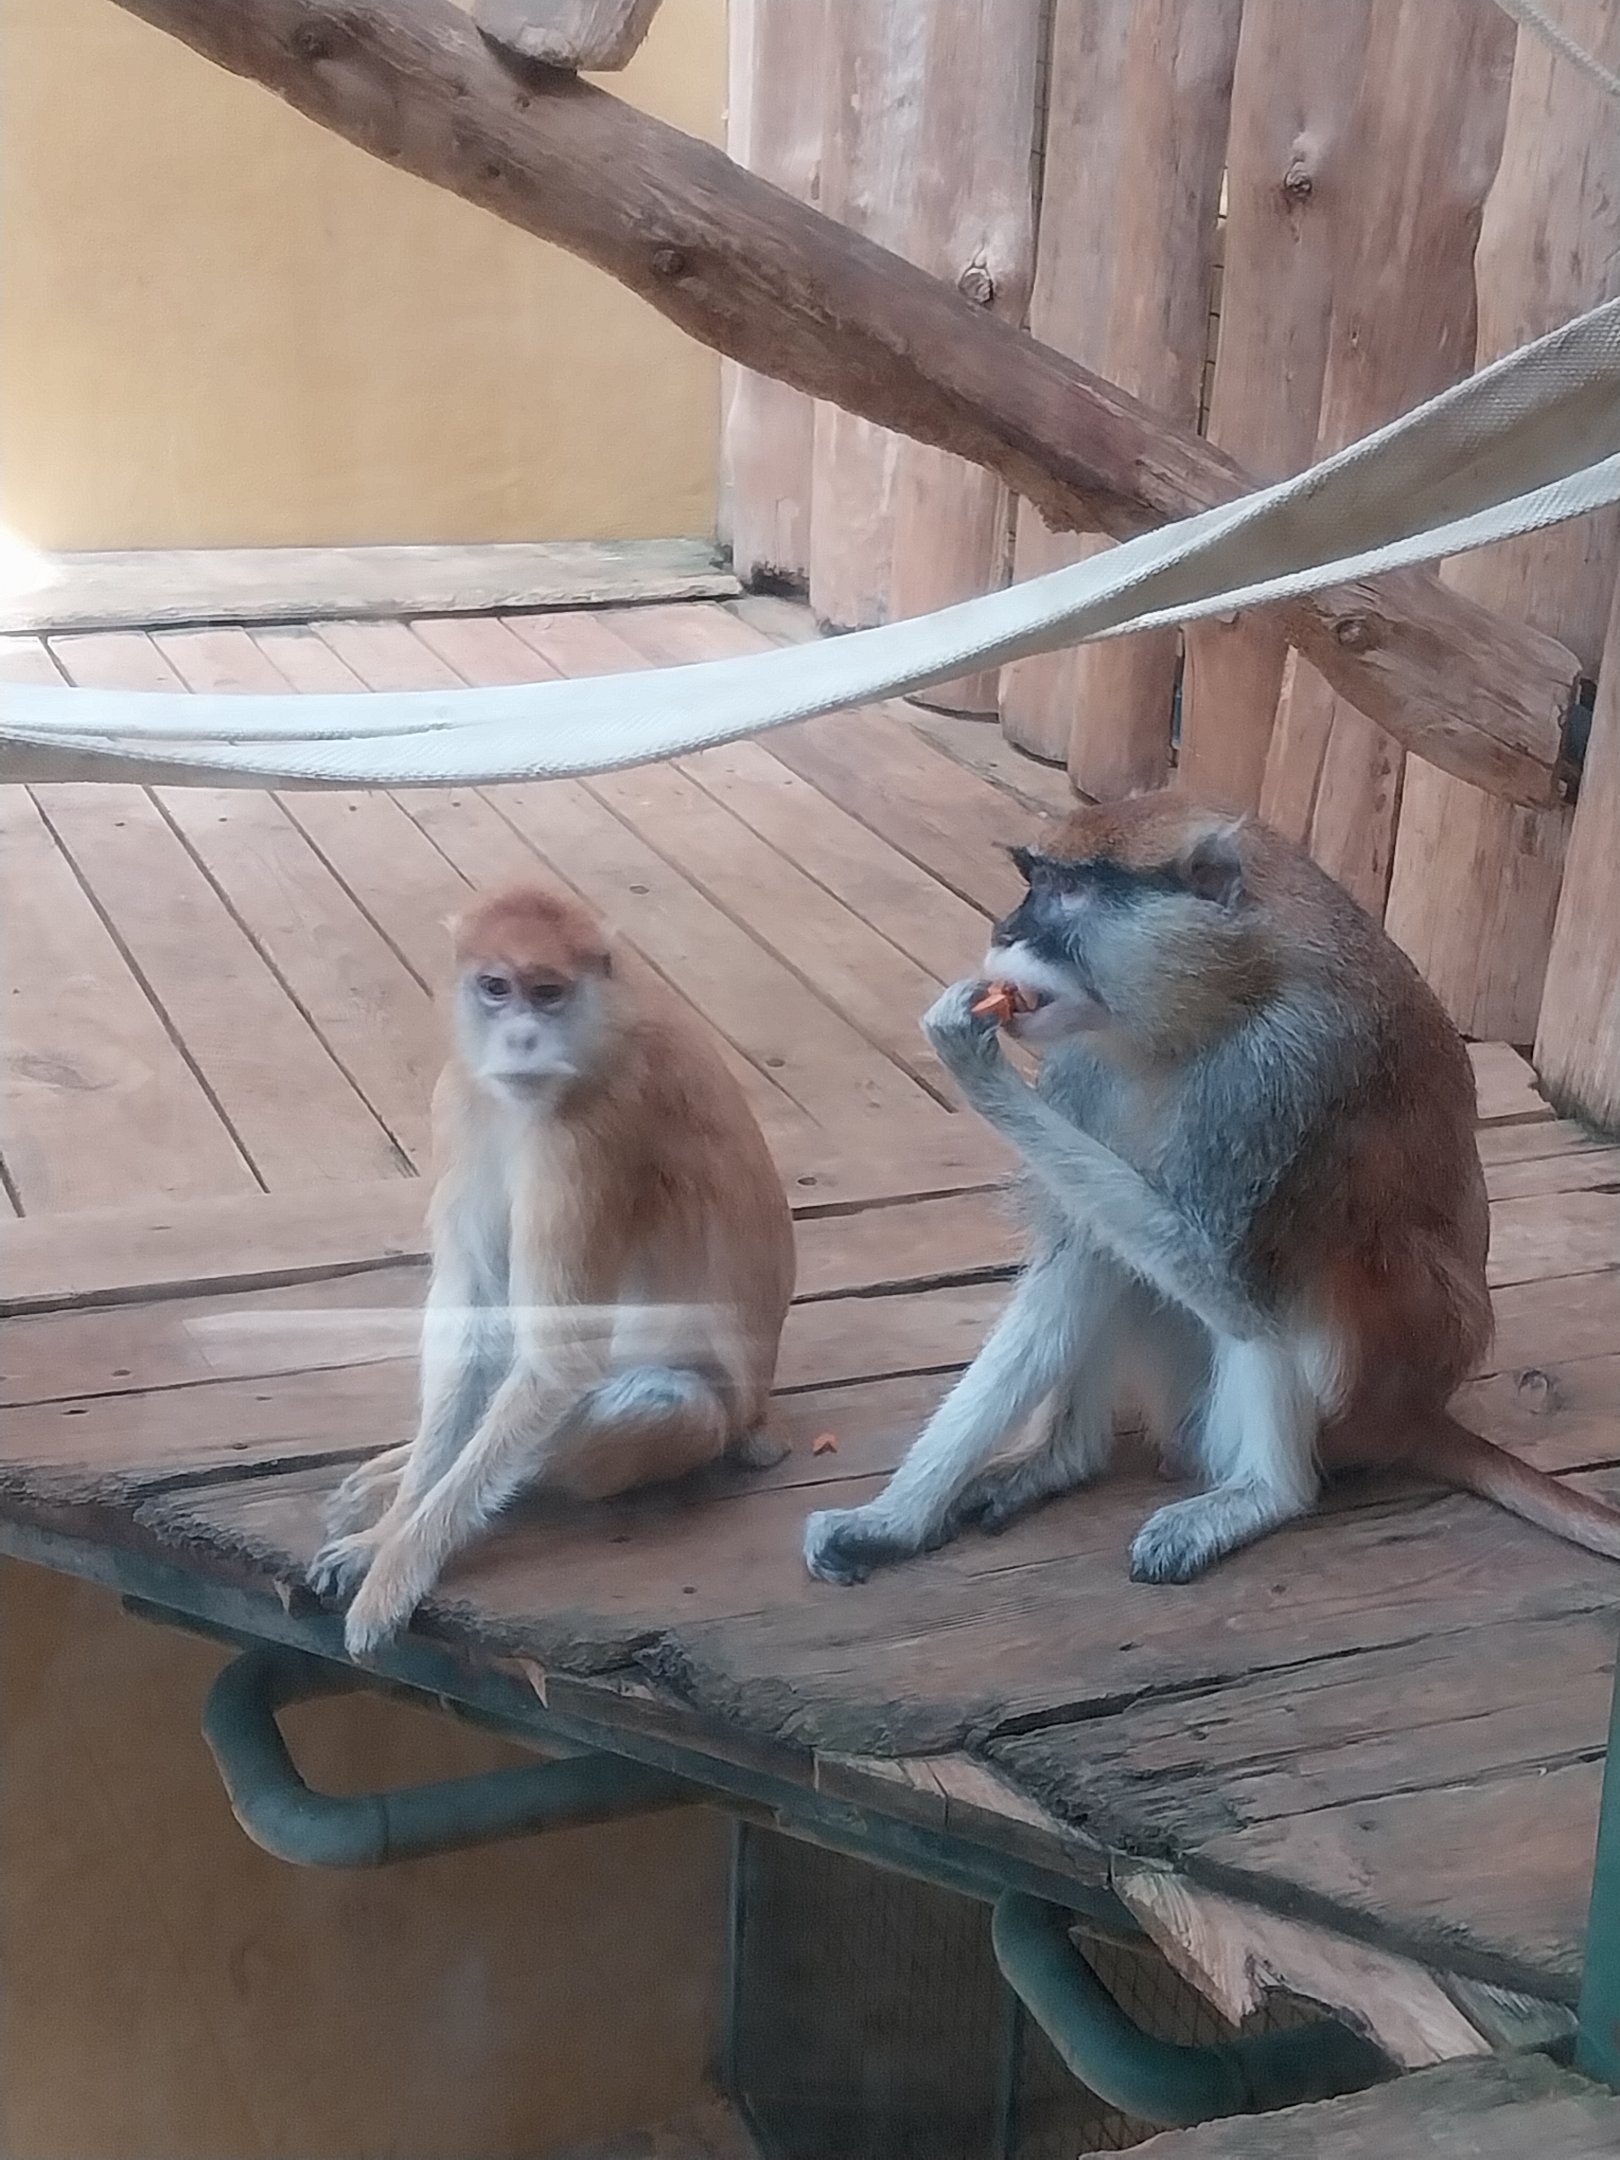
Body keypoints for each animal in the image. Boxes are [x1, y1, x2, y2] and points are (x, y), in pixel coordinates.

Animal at [310, 880, 796, 1657]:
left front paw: (390, 1565)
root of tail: (758, 1417)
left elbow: (559, 1362)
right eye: (495, 989)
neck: (602, 1028)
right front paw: (389, 1522)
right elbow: (473, 1317)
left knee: (658, 1401)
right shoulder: (464, 1097)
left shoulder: (589, 1134)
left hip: (705, 1425)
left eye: (547, 993)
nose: (520, 1039)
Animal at [804, 789, 1620, 1590]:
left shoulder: (1283, 1070)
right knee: (1109, 1258)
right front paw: (888, 1521)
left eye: (1068, 892)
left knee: (1308, 1277)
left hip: (1367, 1389)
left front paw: (971, 1061)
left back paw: (1266, 1493)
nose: (1006, 930)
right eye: (1034, 883)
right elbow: (1078, 1255)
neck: (1218, 991)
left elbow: (1230, 1283)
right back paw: (1061, 1458)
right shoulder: (1086, 1067)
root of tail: (1422, 1413)